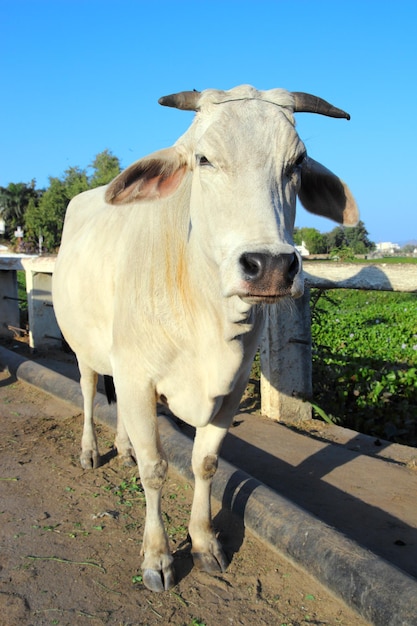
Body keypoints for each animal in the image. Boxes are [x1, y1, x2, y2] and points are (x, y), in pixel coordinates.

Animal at [52, 84, 358, 588]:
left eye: (296, 162)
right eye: (204, 159)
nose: (270, 266)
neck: (207, 317)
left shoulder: (228, 391)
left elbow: (205, 463)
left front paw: (203, 543)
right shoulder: (139, 378)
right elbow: (156, 469)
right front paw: (157, 557)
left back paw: (122, 448)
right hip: (85, 349)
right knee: (89, 390)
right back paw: (91, 451)